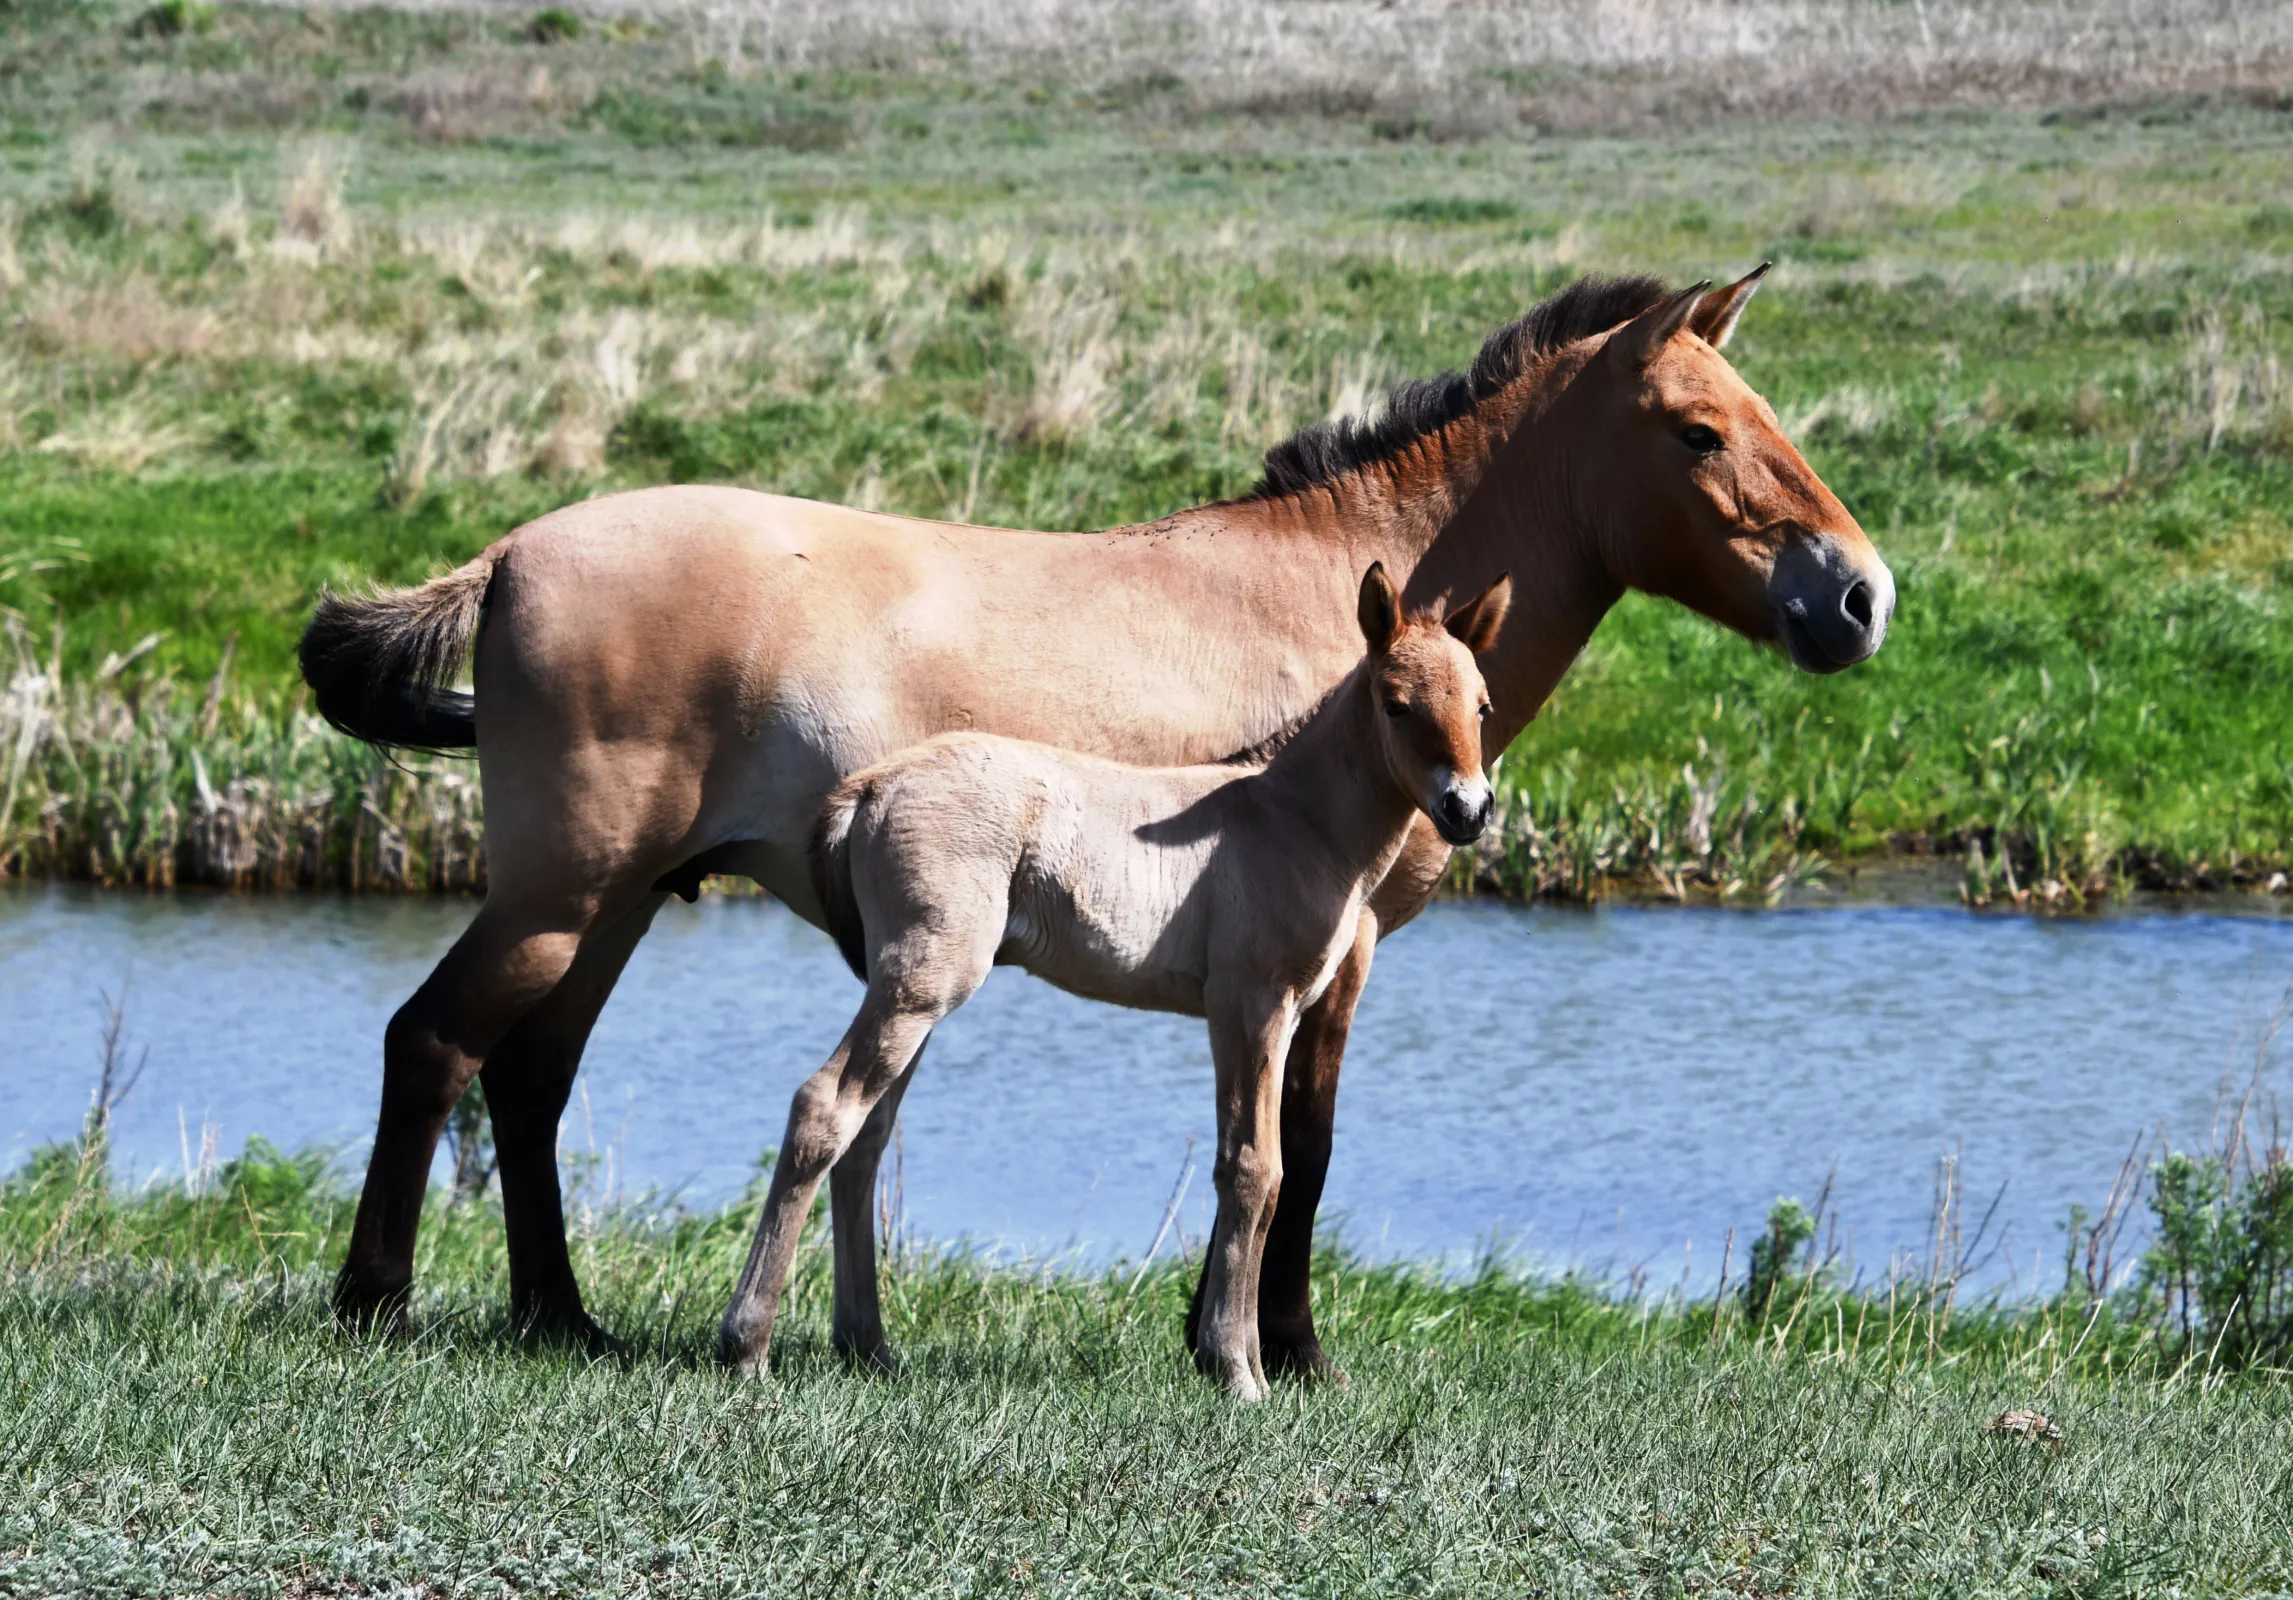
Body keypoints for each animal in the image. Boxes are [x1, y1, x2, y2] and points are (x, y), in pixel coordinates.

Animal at [715, 563, 1504, 1393]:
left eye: (1482, 705)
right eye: (1396, 703)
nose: (1467, 809)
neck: (1292, 821)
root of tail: (870, 786)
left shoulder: (1277, 1015)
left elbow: (1260, 1170)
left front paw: (1237, 1360)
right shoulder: (1250, 1003)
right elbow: (1254, 1168)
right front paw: (1237, 1372)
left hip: (907, 989)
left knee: (865, 1137)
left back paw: (867, 1346)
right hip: (921, 982)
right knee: (823, 1109)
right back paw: (747, 1346)